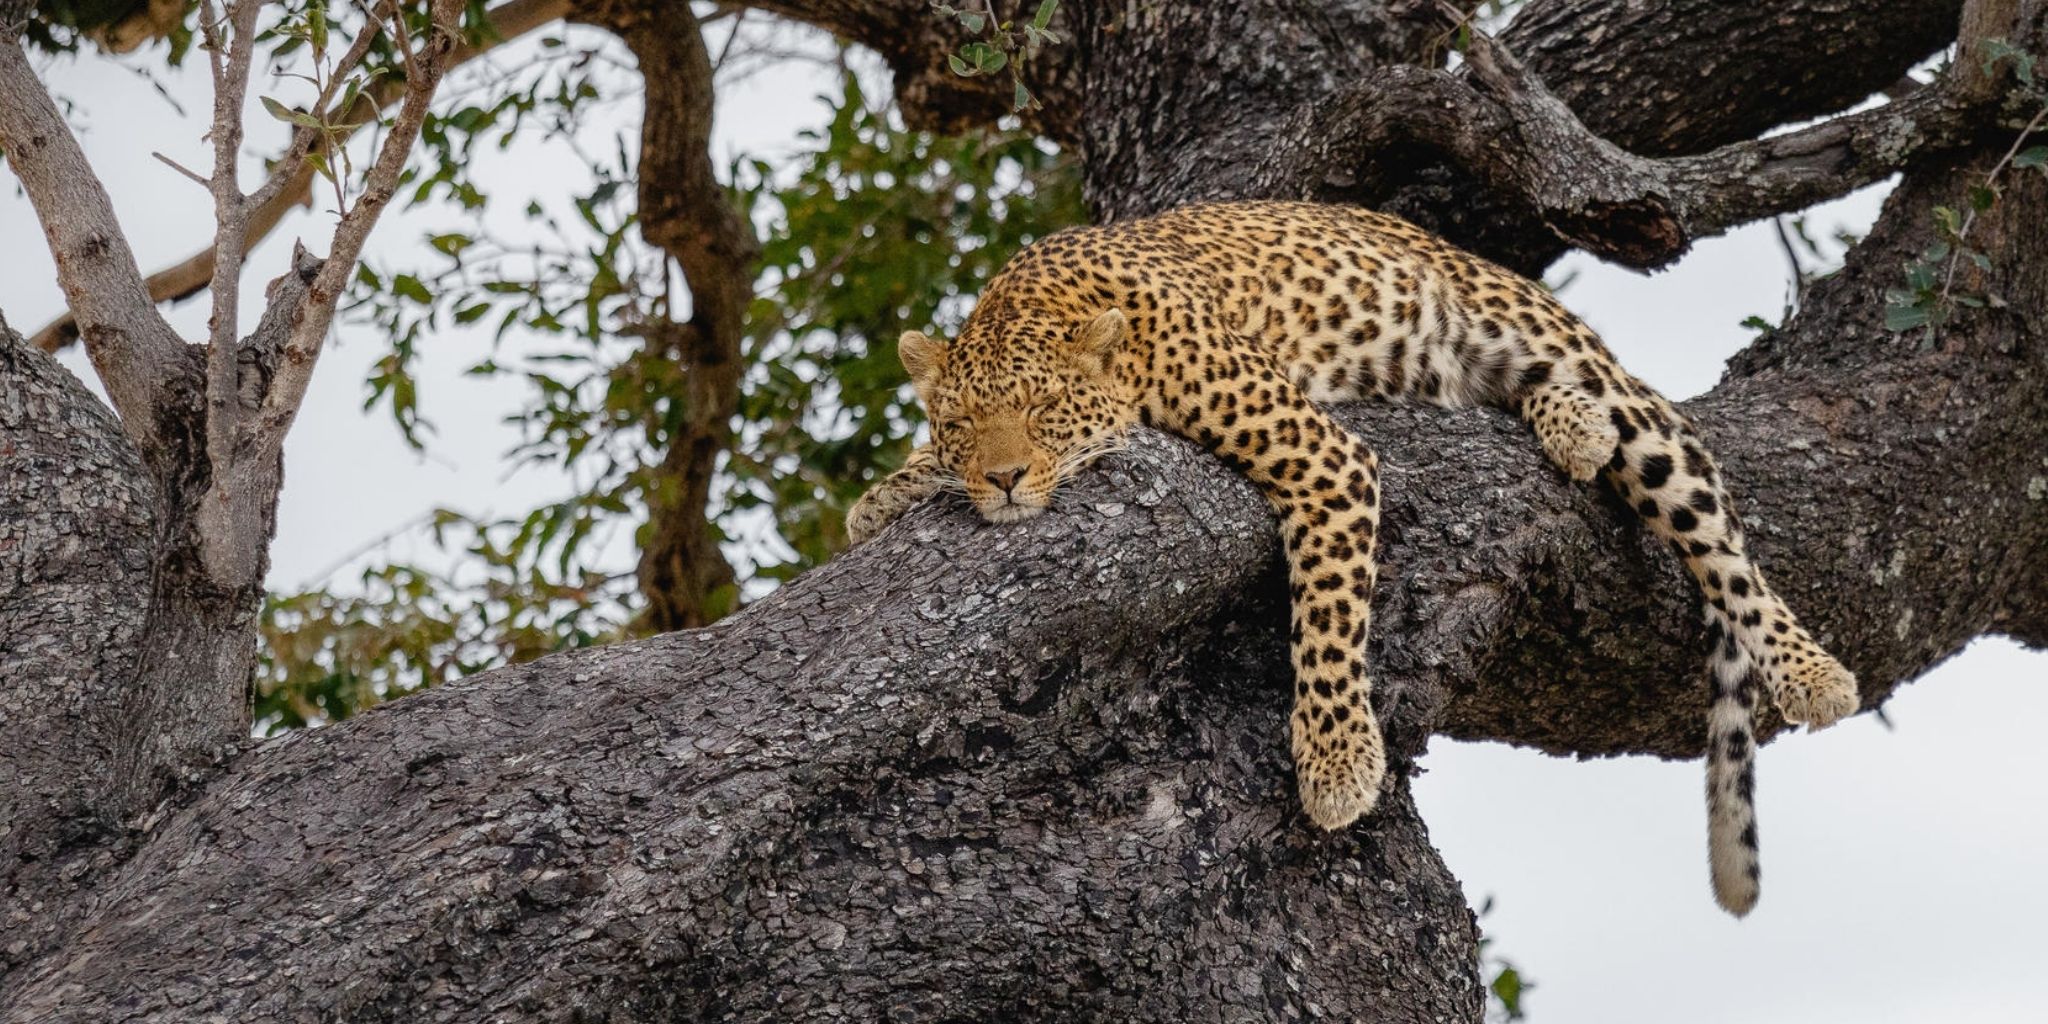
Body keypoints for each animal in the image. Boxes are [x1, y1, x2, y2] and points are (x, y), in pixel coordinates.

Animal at [844, 200, 1861, 916]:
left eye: (1044, 411)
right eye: (962, 423)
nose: (1005, 478)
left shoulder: (1321, 456)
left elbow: (1327, 620)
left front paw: (1336, 763)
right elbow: (908, 477)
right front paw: (887, 494)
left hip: (1572, 358)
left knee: (1716, 535)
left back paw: (1811, 671)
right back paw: (1574, 430)